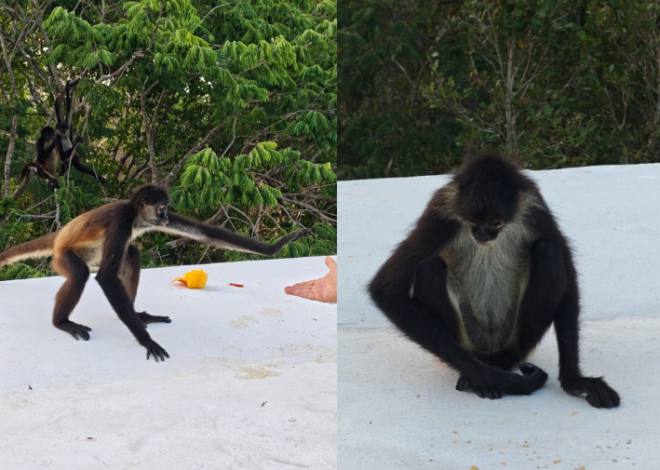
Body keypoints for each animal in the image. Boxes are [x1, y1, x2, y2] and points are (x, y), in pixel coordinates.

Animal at [0, 184, 311, 362]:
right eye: (161, 208)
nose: (164, 217)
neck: (134, 215)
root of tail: (60, 236)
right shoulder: (122, 222)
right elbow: (106, 278)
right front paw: (146, 341)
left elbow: (207, 233)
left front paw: (276, 246)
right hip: (65, 255)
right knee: (80, 273)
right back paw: (62, 322)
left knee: (132, 255)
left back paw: (137, 315)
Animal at [368, 153, 620, 408]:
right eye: (471, 222)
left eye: (495, 224)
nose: (480, 236)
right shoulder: (440, 212)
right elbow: (386, 289)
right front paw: (496, 380)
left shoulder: (535, 207)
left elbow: (569, 278)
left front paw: (575, 381)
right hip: (468, 336)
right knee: (429, 266)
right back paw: (481, 373)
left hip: (509, 333)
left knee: (549, 253)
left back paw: (504, 359)